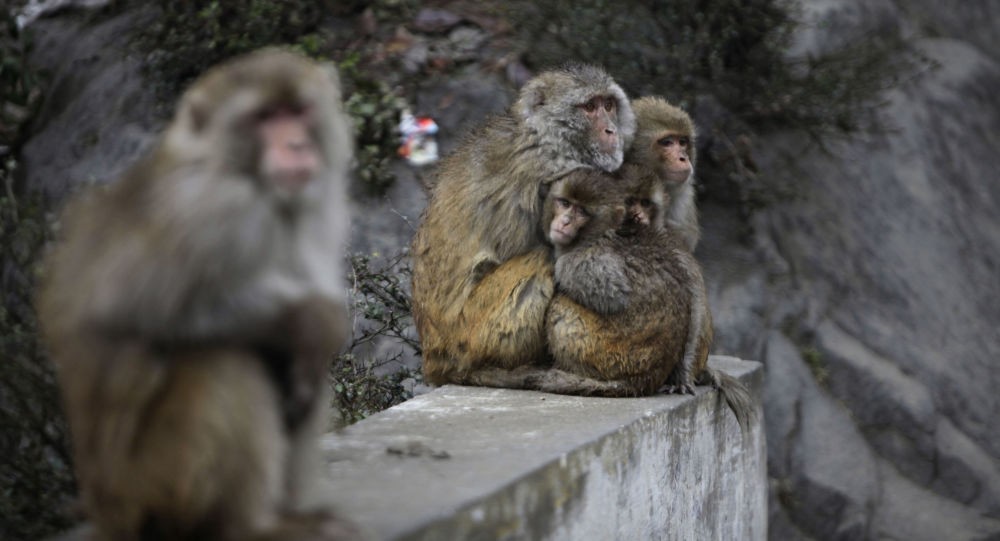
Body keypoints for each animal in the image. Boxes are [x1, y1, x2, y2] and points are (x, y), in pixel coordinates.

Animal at [38, 48, 360, 536]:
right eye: (265, 116)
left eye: (298, 111)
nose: (296, 146)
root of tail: (108, 512)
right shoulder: (216, 210)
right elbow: (132, 310)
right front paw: (313, 321)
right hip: (161, 481)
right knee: (223, 358)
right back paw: (255, 526)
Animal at [410, 63, 636, 384]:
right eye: (590, 107)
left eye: (609, 105)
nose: (611, 130)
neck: (544, 135)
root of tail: (433, 358)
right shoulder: (554, 171)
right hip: (468, 334)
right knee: (540, 261)